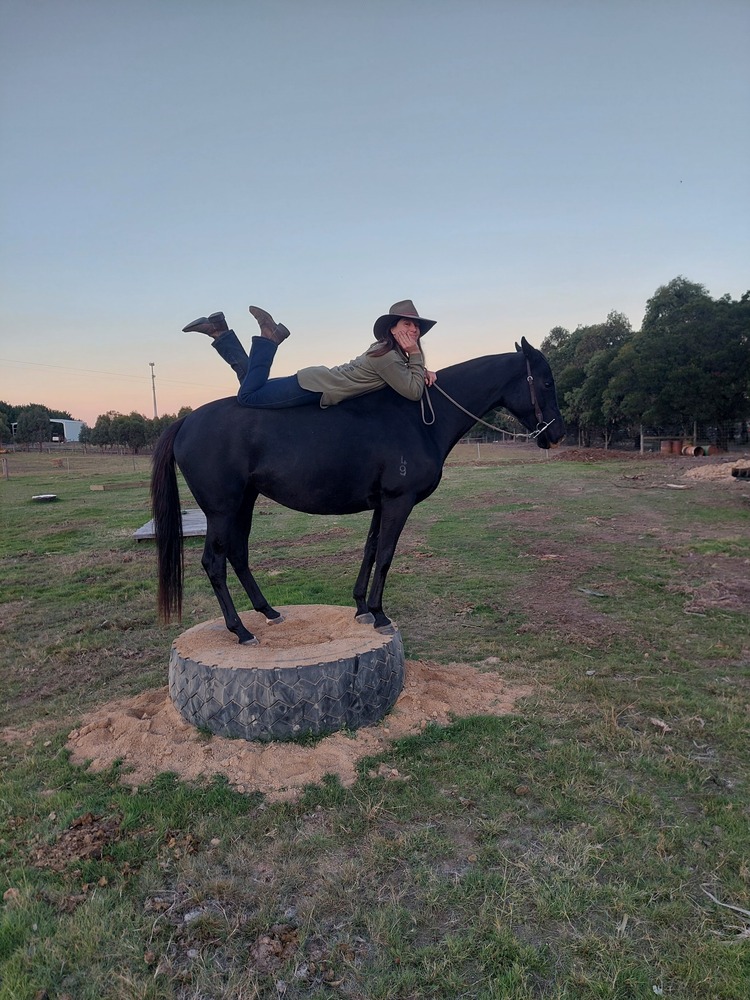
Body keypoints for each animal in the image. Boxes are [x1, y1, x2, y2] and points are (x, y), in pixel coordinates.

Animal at [151, 337, 564, 644]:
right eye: (546, 382)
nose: (556, 435)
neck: (418, 419)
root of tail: (186, 421)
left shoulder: (382, 504)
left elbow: (370, 550)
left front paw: (362, 608)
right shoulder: (398, 502)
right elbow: (386, 554)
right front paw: (380, 614)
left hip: (244, 503)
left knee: (237, 554)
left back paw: (269, 612)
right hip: (221, 510)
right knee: (214, 563)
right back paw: (240, 630)